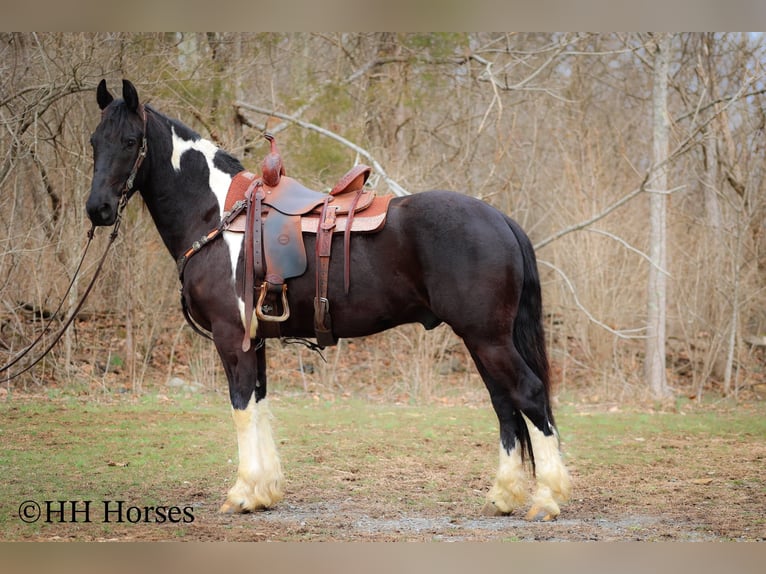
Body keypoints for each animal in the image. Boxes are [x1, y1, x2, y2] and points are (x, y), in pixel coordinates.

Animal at [85, 79, 571, 521]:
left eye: (130, 141)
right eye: (93, 141)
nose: (98, 209)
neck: (218, 216)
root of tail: (500, 219)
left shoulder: (231, 338)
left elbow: (241, 408)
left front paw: (242, 493)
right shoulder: (254, 340)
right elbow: (260, 406)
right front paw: (264, 492)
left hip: (487, 338)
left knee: (528, 395)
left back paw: (546, 499)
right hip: (481, 340)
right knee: (505, 405)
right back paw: (503, 496)